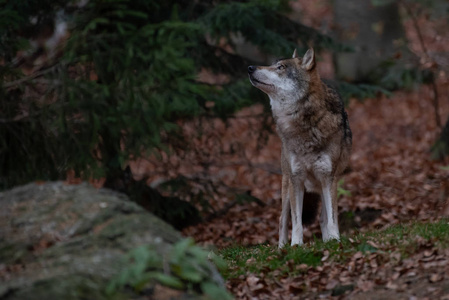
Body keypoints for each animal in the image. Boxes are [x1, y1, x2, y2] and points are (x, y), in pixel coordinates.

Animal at [248, 48, 350, 246]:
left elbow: (332, 218)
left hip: (320, 186)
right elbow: (296, 221)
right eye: (273, 64)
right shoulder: (296, 179)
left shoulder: (329, 178)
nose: (250, 67)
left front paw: (334, 240)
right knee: (282, 219)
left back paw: (326, 240)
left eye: (280, 67)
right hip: (287, 185)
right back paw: (281, 247)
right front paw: (296, 245)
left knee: (322, 218)